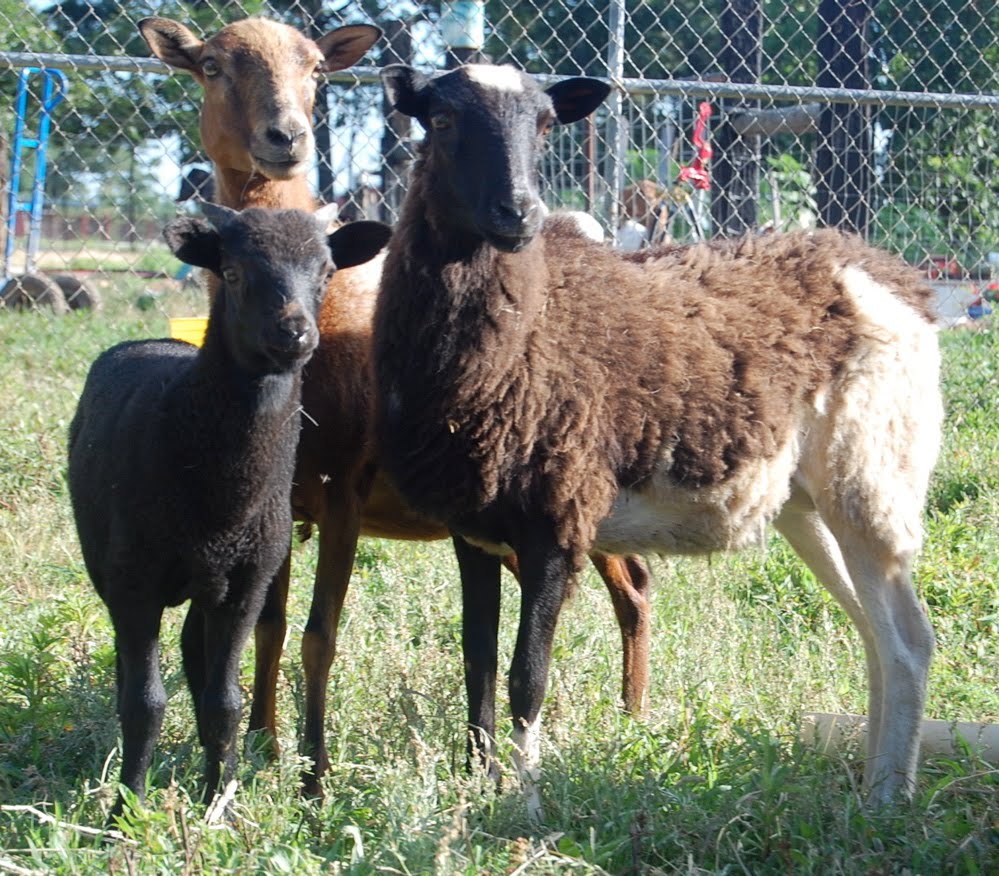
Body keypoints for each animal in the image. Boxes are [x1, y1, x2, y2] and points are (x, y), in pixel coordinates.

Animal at [67, 203, 390, 814]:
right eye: (235, 273)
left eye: (327, 273)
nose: (294, 332)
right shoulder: (134, 582)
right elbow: (144, 703)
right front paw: (127, 809)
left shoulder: (246, 581)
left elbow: (226, 702)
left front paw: (220, 799)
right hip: (110, 567)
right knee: (132, 668)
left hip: (208, 583)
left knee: (195, 652)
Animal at [139, 16, 654, 796]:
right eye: (211, 66)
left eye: (316, 68)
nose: (286, 137)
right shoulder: (283, 494)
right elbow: (271, 624)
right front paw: (263, 744)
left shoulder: (344, 485)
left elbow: (320, 636)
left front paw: (315, 778)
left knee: (635, 589)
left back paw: (631, 720)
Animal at [374, 63, 942, 810]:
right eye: (440, 121)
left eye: (547, 125)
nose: (519, 213)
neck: (527, 324)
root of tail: (891, 274)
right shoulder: (472, 529)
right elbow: (478, 672)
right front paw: (481, 788)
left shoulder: (556, 521)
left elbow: (526, 678)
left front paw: (523, 804)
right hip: (810, 502)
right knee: (877, 635)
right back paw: (871, 787)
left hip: (870, 472)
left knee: (905, 643)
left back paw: (883, 801)